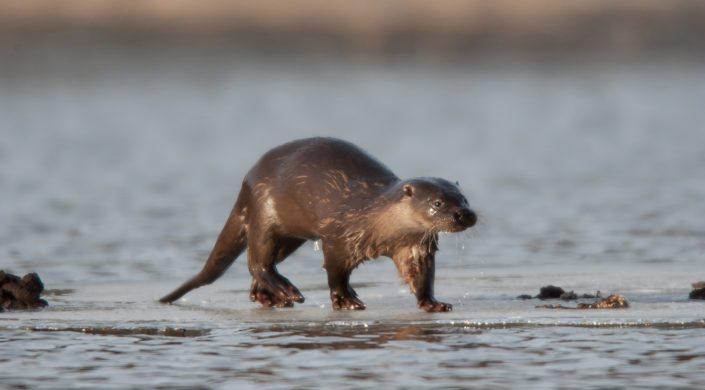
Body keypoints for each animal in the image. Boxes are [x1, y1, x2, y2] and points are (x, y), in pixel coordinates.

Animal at [160, 137, 476, 310]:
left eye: (463, 198)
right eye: (438, 203)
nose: (464, 214)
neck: (375, 220)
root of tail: (246, 184)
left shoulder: (412, 247)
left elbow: (421, 276)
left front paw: (431, 302)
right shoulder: (339, 237)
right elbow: (335, 273)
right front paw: (345, 299)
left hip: (290, 237)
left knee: (261, 266)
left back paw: (269, 298)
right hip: (264, 215)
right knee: (257, 261)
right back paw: (286, 290)